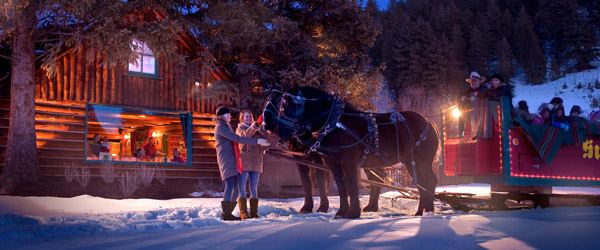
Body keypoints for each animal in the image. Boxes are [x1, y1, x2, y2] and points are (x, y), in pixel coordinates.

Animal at [264, 85, 438, 217]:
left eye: (285, 105)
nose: (266, 125)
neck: (335, 123)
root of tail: (429, 122)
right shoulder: (332, 161)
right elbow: (341, 185)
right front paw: (341, 212)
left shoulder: (348, 160)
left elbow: (350, 183)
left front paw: (353, 212)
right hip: (410, 161)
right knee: (421, 184)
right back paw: (421, 211)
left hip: (421, 162)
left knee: (429, 182)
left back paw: (427, 211)